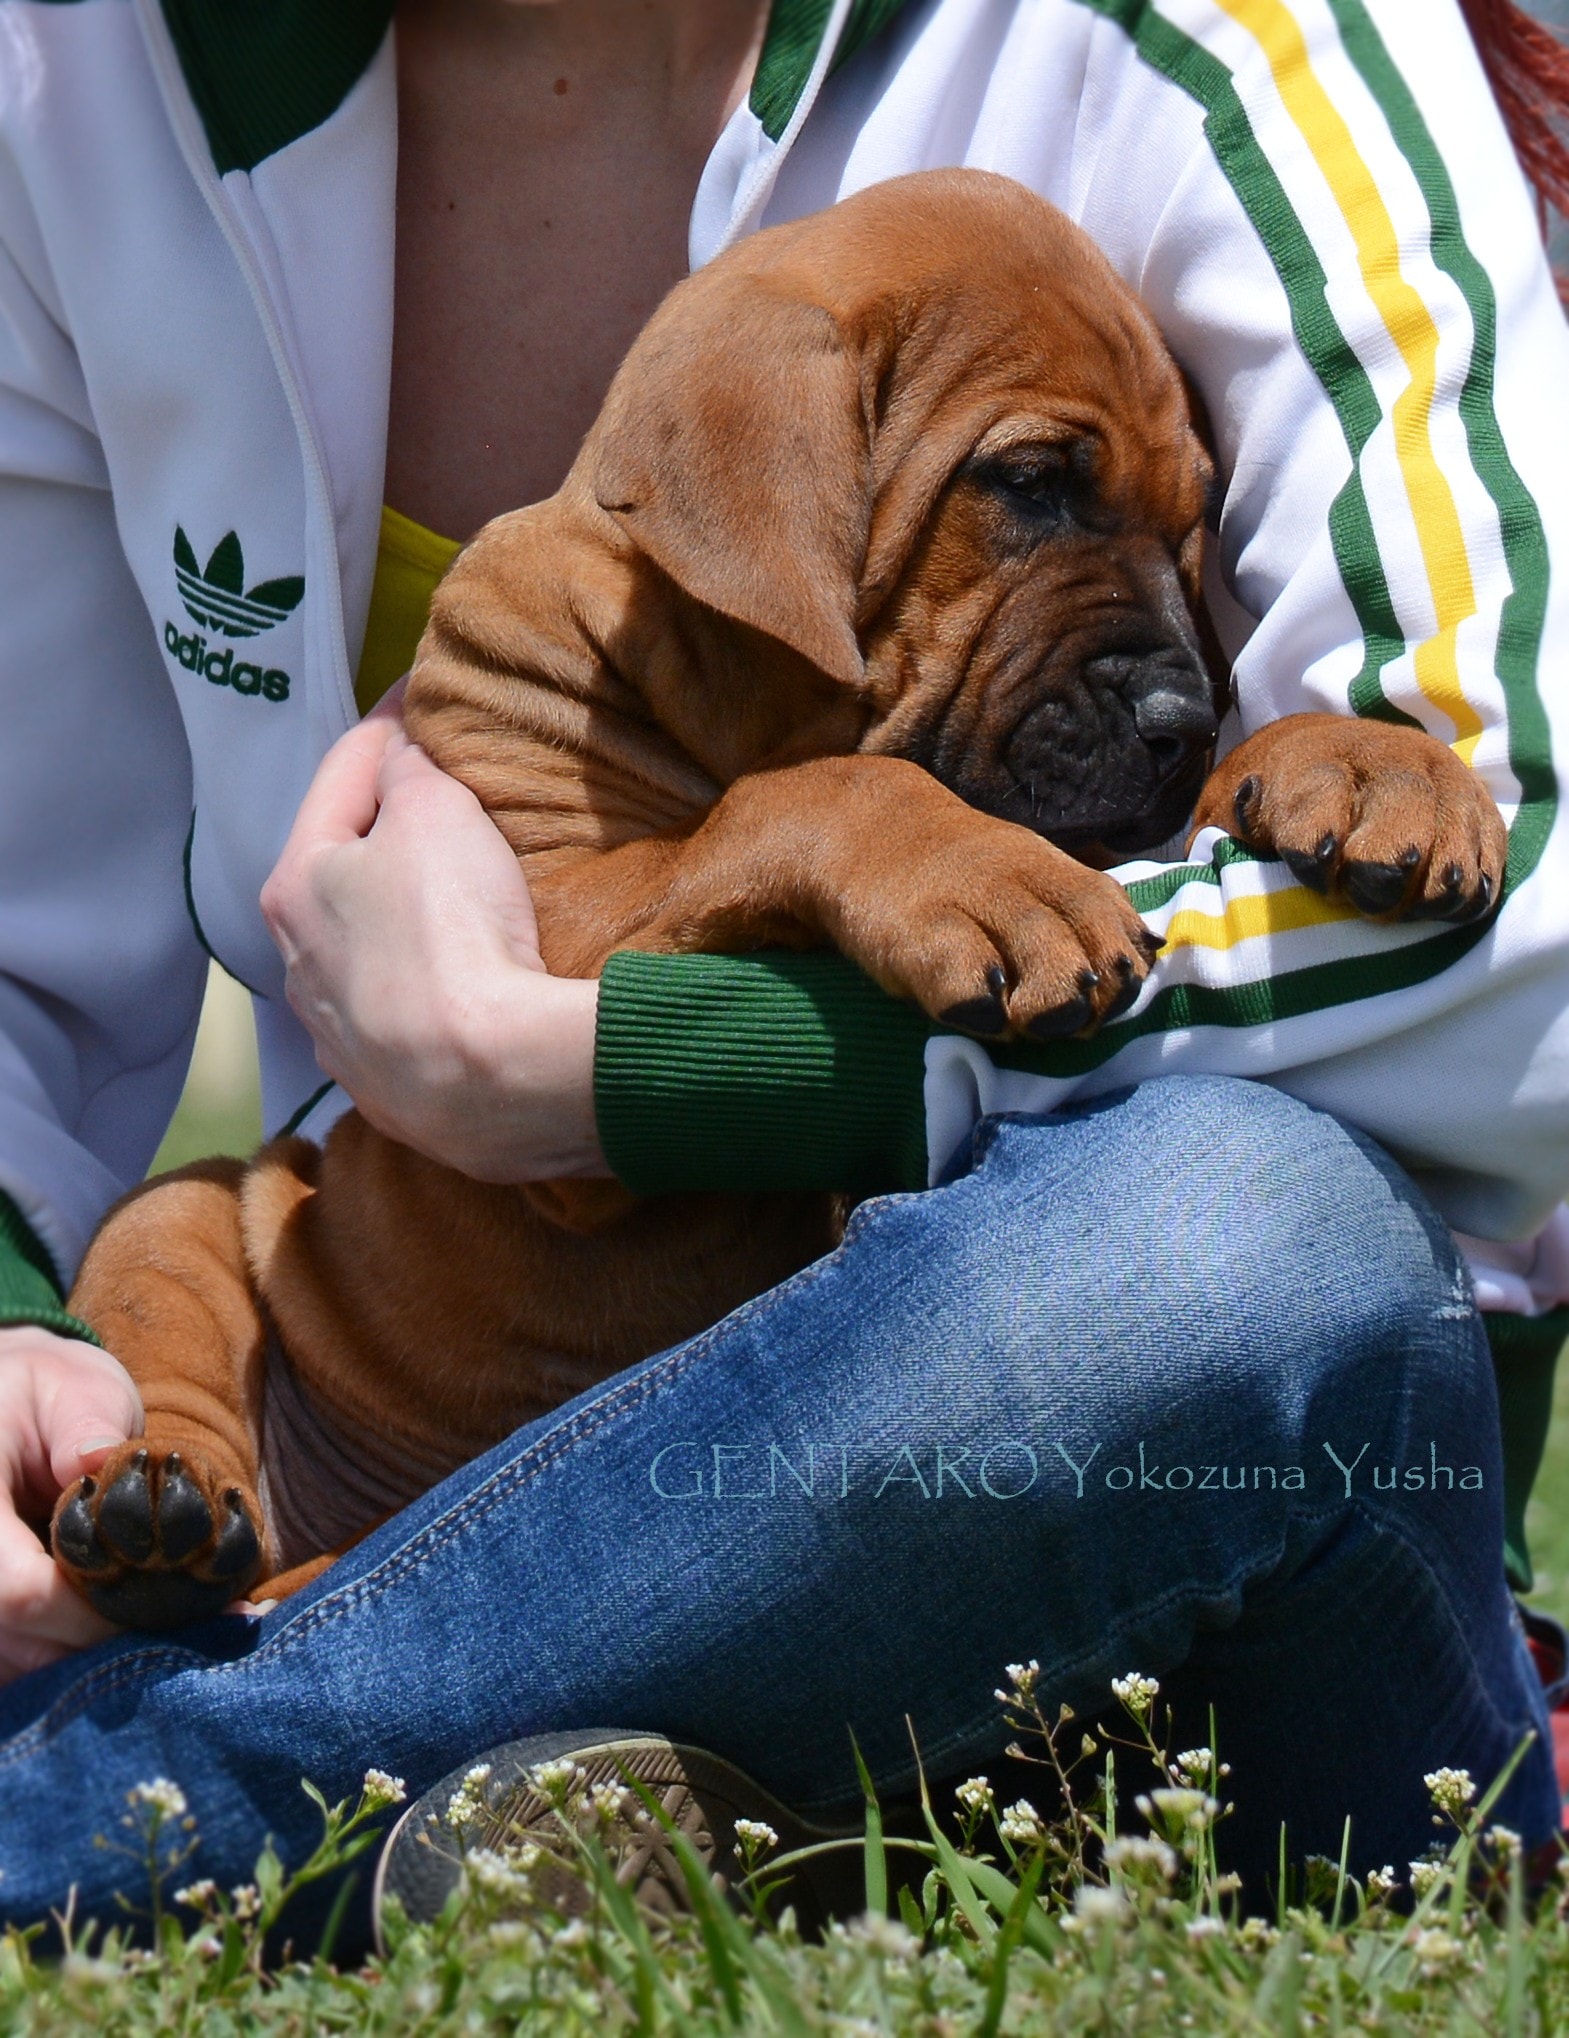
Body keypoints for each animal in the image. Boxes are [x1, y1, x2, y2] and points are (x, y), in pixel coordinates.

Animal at [45, 171, 1491, 1622]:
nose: (1180, 721)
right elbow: (809, 795)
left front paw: (1364, 761)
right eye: (1028, 484)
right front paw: (989, 877)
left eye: (1193, 522)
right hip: (176, 1220)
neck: (719, 676)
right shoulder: (531, 929)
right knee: (171, 1352)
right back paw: (156, 1510)